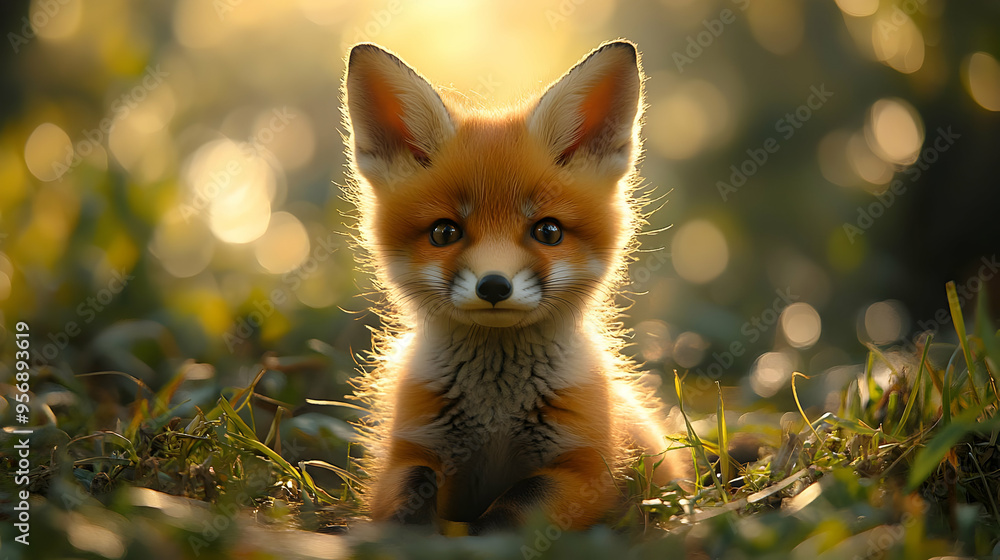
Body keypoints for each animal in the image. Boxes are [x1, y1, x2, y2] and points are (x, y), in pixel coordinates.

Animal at [341, 39, 691, 534]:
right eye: (444, 232)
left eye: (548, 231)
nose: (493, 286)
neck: (495, 412)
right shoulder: (409, 451)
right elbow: (408, 495)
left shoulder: (585, 470)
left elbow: (510, 511)